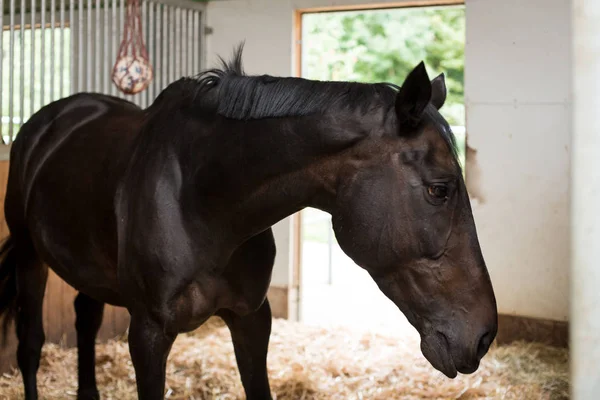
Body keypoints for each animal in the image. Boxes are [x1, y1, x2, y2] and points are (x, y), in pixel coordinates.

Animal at [0, 45, 496, 398]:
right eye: (439, 189)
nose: (484, 336)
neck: (201, 201)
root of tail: (51, 120)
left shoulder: (253, 318)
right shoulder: (148, 334)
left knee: (85, 321)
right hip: (29, 256)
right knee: (29, 346)